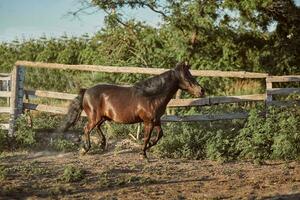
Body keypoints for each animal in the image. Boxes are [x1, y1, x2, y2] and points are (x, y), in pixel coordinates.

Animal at [59, 62, 205, 158]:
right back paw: (85, 149)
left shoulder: (156, 121)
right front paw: (143, 154)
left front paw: (149, 146)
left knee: (96, 128)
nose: (201, 91)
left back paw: (102, 144)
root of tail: (86, 91)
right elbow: (146, 137)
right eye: (187, 77)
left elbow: (159, 135)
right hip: (95, 117)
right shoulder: (148, 122)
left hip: (103, 117)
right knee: (86, 129)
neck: (151, 96)